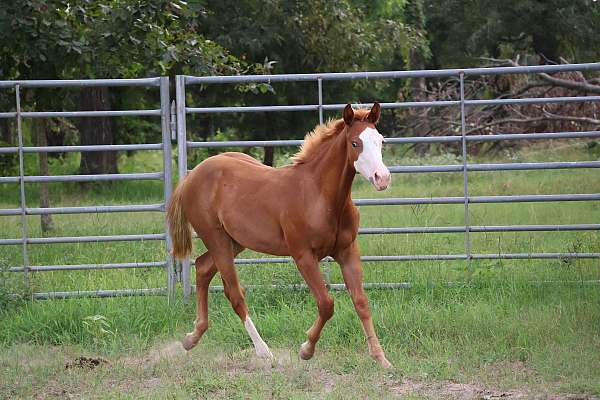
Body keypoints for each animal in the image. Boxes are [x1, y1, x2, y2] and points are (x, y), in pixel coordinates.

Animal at [168, 103, 394, 368]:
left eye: (380, 141)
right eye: (355, 143)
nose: (382, 178)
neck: (319, 195)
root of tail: (190, 177)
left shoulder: (347, 251)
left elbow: (361, 302)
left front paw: (381, 358)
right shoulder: (303, 255)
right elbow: (326, 304)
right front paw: (306, 350)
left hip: (235, 241)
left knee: (203, 268)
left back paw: (191, 338)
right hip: (216, 239)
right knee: (234, 292)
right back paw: (263, 351)